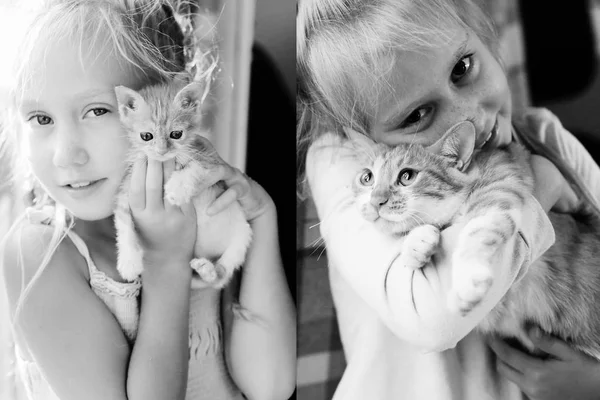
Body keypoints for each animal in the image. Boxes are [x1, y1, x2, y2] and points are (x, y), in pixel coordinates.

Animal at [113, 78, 252, 290]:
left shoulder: (210, 160)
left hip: (241, 236)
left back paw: (208, 270)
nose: (162, 151)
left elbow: (195, 167)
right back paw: (205, 269)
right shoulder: (127, 186)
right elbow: (123, 222)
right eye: (146, 136)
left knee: (221, 276)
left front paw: (176, 189)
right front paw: (129, 262)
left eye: (176, 134)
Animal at [352, 122, 600, 360]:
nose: (375, 201)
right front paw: (416, 243)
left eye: (407, 176)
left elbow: (477, 230)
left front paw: (467, 280)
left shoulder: (499, 190)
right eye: (367, 178)